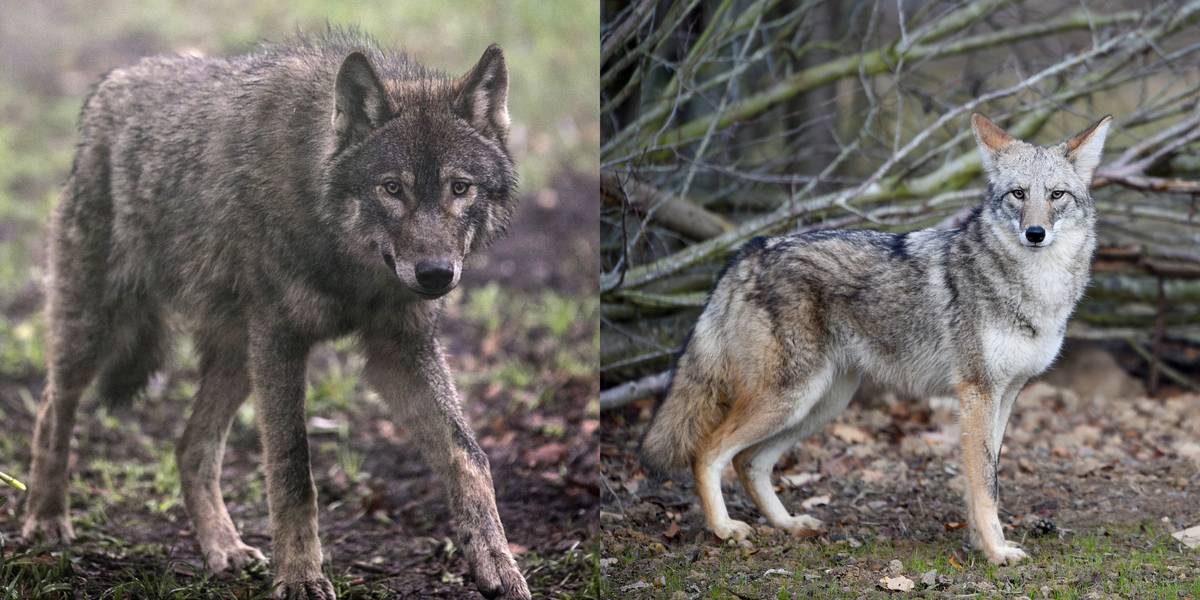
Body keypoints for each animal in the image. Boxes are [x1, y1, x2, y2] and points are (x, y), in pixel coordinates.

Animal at [21, 30, 529, 599]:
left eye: (459, 188)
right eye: (392, 188)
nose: (436, 275)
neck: (347, 263)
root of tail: (112, 81)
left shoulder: (399, 350)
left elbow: (469, 457)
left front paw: (497, 564)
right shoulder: (282, 341)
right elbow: (292, 472)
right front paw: (302, 577)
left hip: (239, 356)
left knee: (190, 446)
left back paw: (223, 548)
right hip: (98, 328)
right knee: (53, 408)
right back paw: (46, 520)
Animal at [642, 114, 1112, 565]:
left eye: (1056, 195)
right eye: (1018, 194)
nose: (1035, 233)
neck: (1038, 289)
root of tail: (749, 250)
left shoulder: (1006, 394)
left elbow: (985, 477)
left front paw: (981, 545)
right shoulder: (978, 393)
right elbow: (984, 484)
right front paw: (997, 553)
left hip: (820, 404)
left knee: (748, 462)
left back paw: (789, 524)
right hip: (788, 399)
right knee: (707, 453)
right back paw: (724, 530)